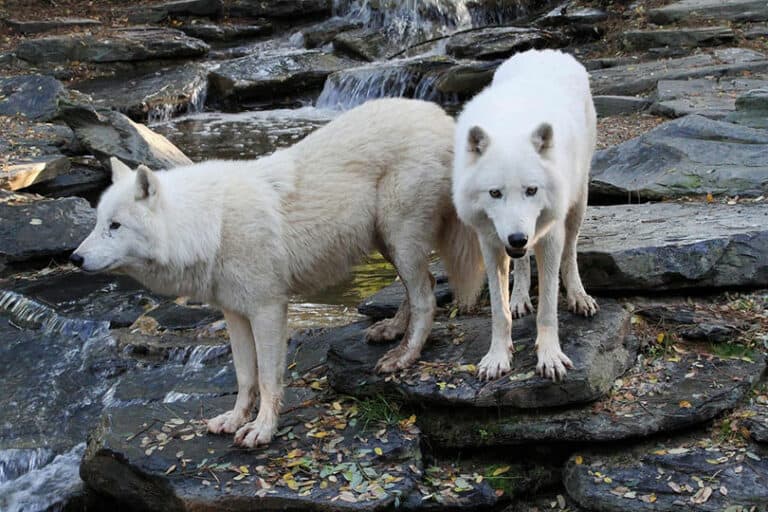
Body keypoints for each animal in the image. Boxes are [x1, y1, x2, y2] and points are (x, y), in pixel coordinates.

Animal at [71, 98, 484, 447]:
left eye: (115, 226)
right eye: (98, 222)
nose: (75, 258)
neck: (209, 224)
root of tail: (443, 118)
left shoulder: (268, 310)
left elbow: (269, 378)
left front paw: (262, 430)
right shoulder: (235, 314)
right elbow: (244, 376)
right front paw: (235, 419)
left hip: (400, 235)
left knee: (426, 297)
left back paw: (405, 356)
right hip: (386, 239)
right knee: (420, 285)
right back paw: (392, 330)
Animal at [452, 49, 599, 382]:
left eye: (532, 190)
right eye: (495, 193)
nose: (518, 238)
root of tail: (544, 51)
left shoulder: (550, 237)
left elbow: (548, 308)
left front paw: (550, 357)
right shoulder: (491, 243)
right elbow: (498, 310)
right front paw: (497, 357)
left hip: (577, 203)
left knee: (571, 251)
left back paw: (578, 295)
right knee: (520, 267)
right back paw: (519, 298)